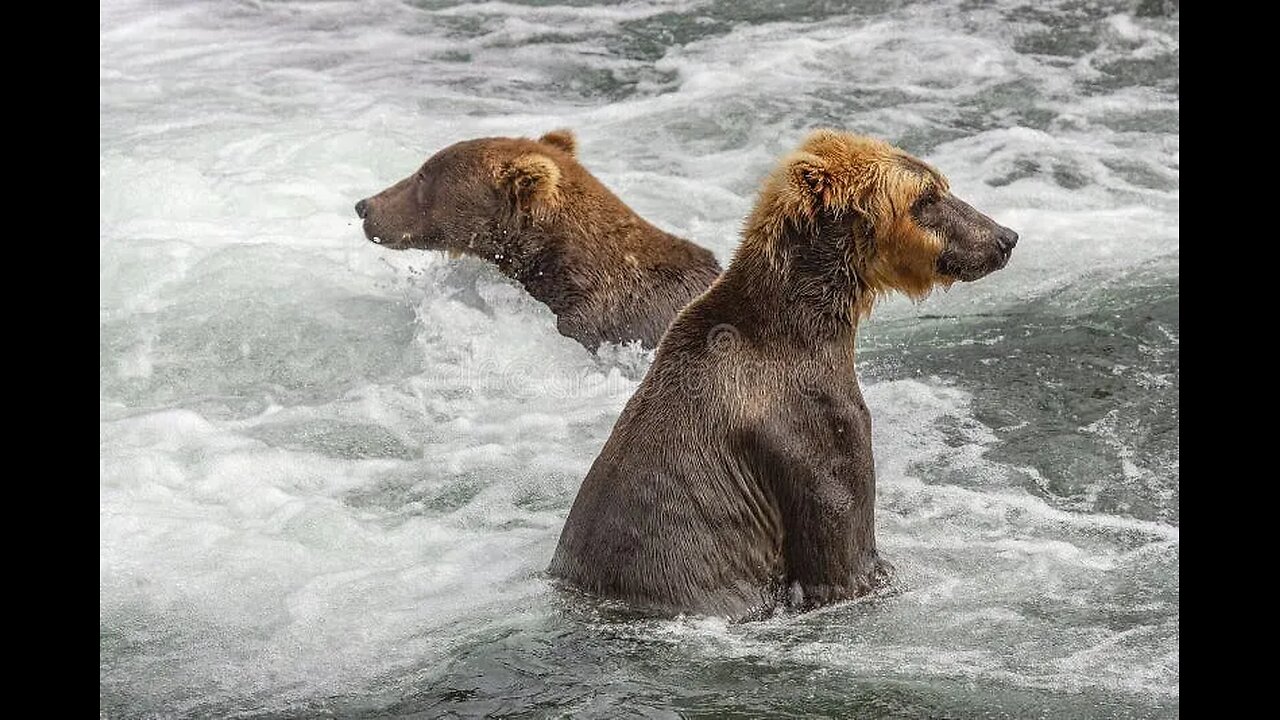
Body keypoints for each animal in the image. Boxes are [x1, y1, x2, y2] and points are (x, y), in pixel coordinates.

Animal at [547, 129, 1019, 620]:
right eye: (925, 196)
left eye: (941, 184)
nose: (1005, 237)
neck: (801, 330)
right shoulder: (811, 430)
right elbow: (842, 547)